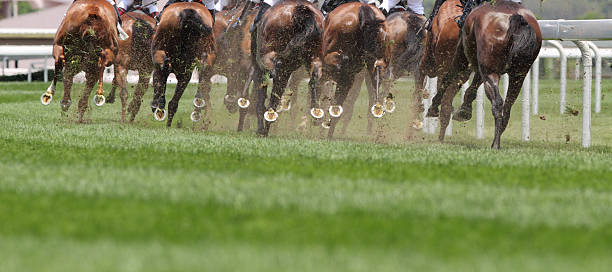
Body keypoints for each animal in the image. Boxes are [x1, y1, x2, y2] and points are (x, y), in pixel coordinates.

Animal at [250, 0, 326, 136]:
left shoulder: (259, 67)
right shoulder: (287, 71)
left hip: (267, 56)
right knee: (314, 79)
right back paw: (316, 114)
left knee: (276, 71)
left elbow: (261, 95)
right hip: (315, 57)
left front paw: (261, 128)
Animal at [436, 0, 540, 149]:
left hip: (491, 72)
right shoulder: (482, 66)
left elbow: (447, 78)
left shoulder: (462, 54)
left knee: (497, 103)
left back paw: (495, 144)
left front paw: (433, 108)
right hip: (518, 76)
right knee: (507, 108)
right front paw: (464, 110)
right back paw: (495, 140)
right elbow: (472, 88)